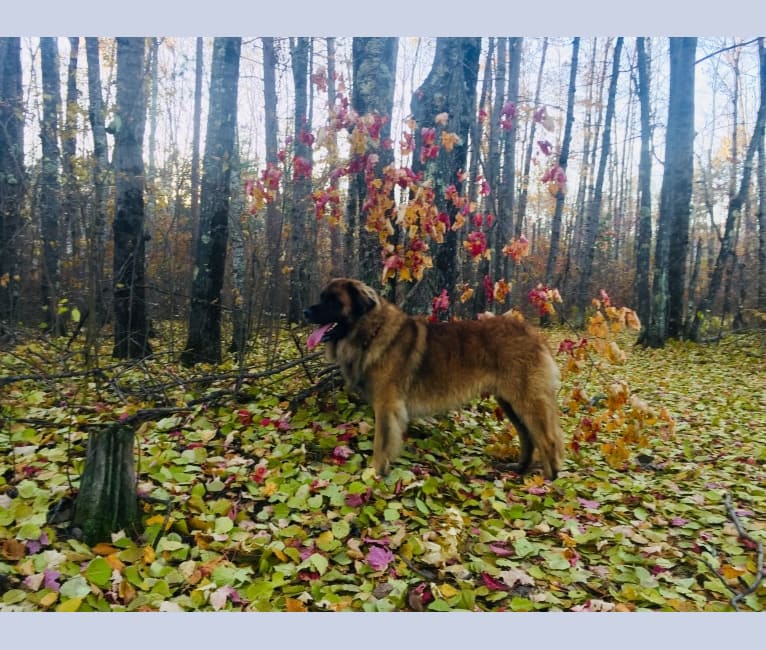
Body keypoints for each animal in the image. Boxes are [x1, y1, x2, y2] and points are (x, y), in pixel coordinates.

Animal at [304, 276, 564, 478]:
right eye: (322, 297)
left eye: (333, 301)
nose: (306, 311)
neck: (371, 331)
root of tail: (532, 333)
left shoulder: (386, 405)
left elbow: (380, 444)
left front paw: (374, 474)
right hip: (509, 401)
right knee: (528, 436)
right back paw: (520, 469)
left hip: (526, 400)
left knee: (547, 439)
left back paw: (547, 482)